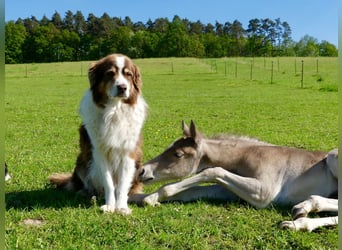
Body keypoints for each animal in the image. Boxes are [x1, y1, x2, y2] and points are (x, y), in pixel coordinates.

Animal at [49, 53, 147, 214]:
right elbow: (108, 183)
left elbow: (122, 185)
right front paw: (110, 206)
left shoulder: (129, 153)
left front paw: (121, 207)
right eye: (110, 73)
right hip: (82, 162)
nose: (123, 87)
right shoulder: (100, 152)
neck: (114, 110)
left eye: (128, 74)